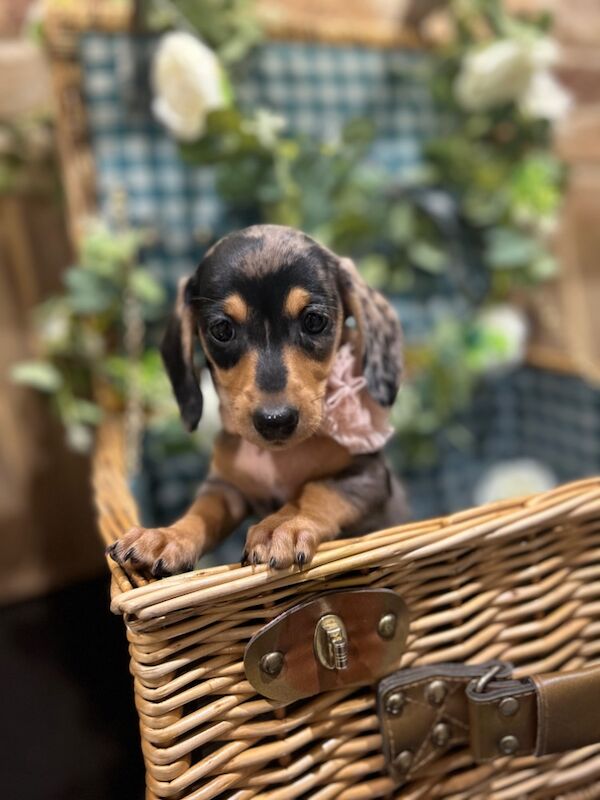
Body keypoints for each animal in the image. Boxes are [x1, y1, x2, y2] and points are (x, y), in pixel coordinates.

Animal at [110, 225, 406, 576]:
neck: (277, 457)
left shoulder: (369, 476)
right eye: (222, 329)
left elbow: (316, 491)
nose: (275, 421)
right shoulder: (226, 487)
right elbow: (203, 511)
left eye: (314, 321)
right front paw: (167, 536)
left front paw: (284, 525)